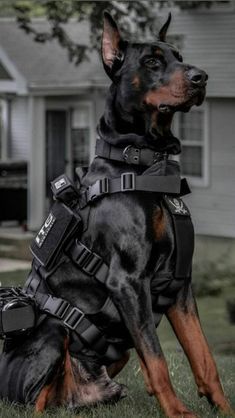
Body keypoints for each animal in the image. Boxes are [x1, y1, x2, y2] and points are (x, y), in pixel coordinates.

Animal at [0, 10, 233, 418]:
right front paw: (178, 412)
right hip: (53, 331)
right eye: (152, 61)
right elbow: (156, 359)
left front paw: (224, 408)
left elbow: (203, 357)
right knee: (35, 402)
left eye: (179, 56)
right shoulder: (128, 280)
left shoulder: (180, 285)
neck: (145, 164)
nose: (201, 77)